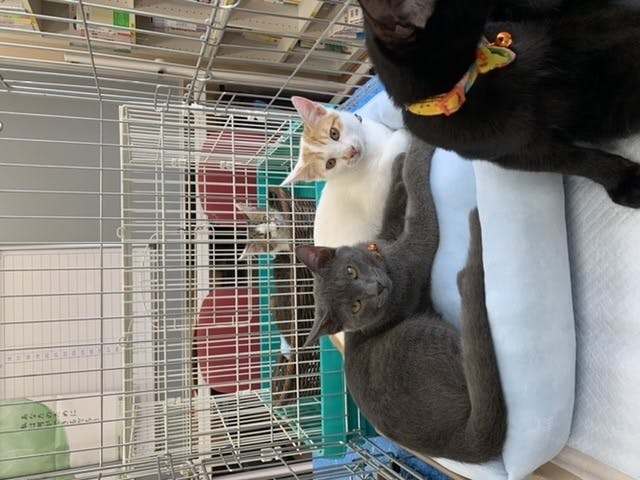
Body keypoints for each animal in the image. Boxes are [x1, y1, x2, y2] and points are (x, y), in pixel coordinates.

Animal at [281, 96, 411, 246]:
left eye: (334, 133)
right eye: (330, 163)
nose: (350, 152)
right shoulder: (374, 194)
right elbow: (389, 158)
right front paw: (403, 132)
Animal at [295, 136, 507, 463]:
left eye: (351, 270)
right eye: (355, 306)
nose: (377, 288)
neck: (386, 260)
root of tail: (460, 442)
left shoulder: (386, 235)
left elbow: (393, 207)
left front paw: (398, 162)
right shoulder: (418, 244)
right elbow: (418, 202)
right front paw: (417, 149)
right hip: (420, 337)